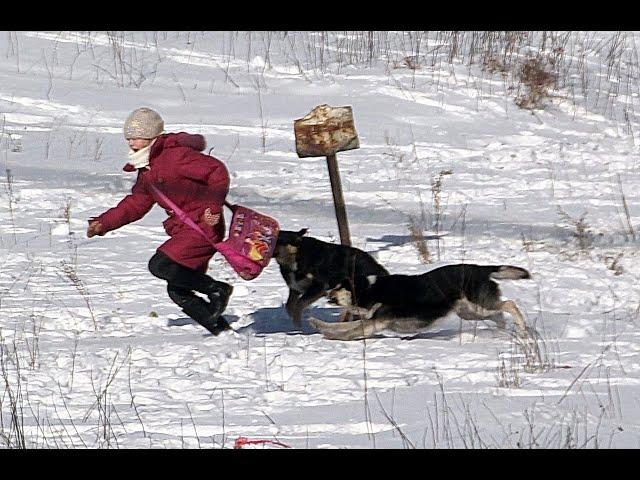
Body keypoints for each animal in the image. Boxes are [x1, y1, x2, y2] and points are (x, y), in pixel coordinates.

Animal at [308, 262, 528, 342]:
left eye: (339, 287)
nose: (326, 293)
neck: (372, 289)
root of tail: (481, 268)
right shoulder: (372, 319)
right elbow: (342, 326)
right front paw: (319, 325)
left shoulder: (376, 322)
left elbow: (349, 331)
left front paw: (332, 337)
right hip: (469, 312)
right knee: (499, 315)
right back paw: (501, 332)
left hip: (477, 306)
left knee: (510, 304)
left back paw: (523, 329)